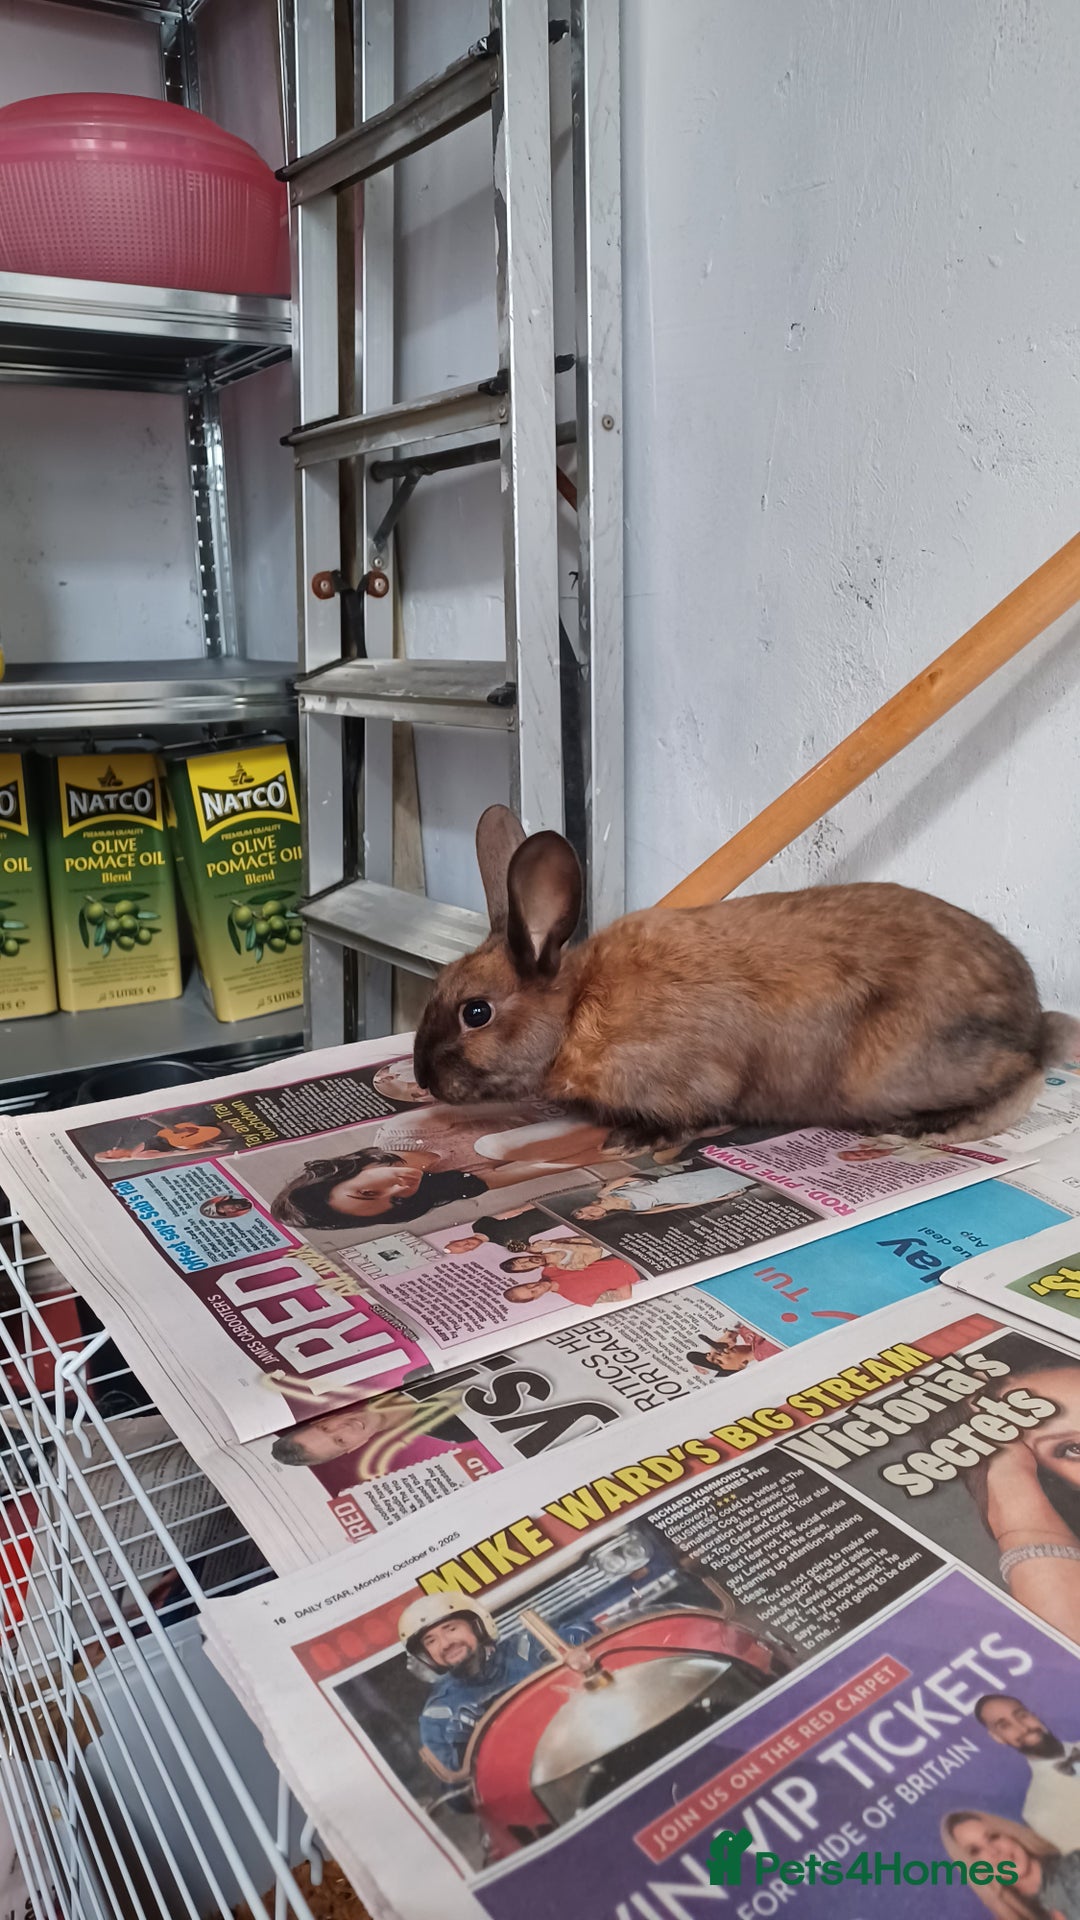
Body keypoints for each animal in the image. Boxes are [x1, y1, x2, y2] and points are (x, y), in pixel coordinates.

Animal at [412, 805, 1078, 1148]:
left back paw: (932, 1126)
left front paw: (634, 1141)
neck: (574, 1010)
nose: (422, 1079)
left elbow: (694, 1109)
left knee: (1022, 1073)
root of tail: (1030, 1016)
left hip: (893, 1071)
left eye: (476, 1012)